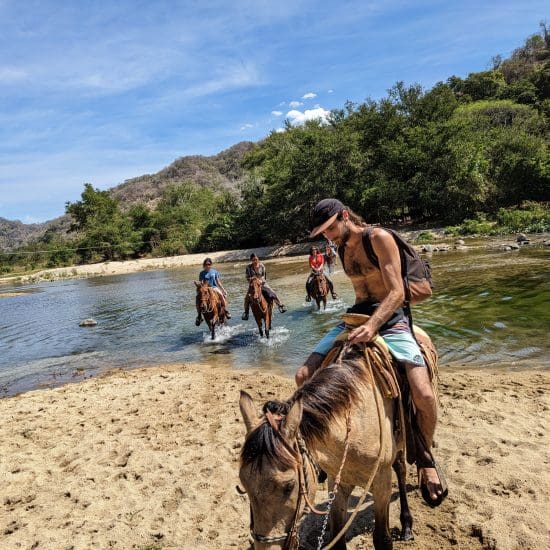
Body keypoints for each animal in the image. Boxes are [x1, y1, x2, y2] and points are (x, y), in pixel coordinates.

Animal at [238, 316, 444, 548]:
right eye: (243, 484)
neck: (352, 426)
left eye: (289, 486)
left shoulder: (381, 482)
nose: (267, 546)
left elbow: (382, 538)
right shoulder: (336, 482)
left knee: (400, 467)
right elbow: (337, 536)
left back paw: (408, 522)